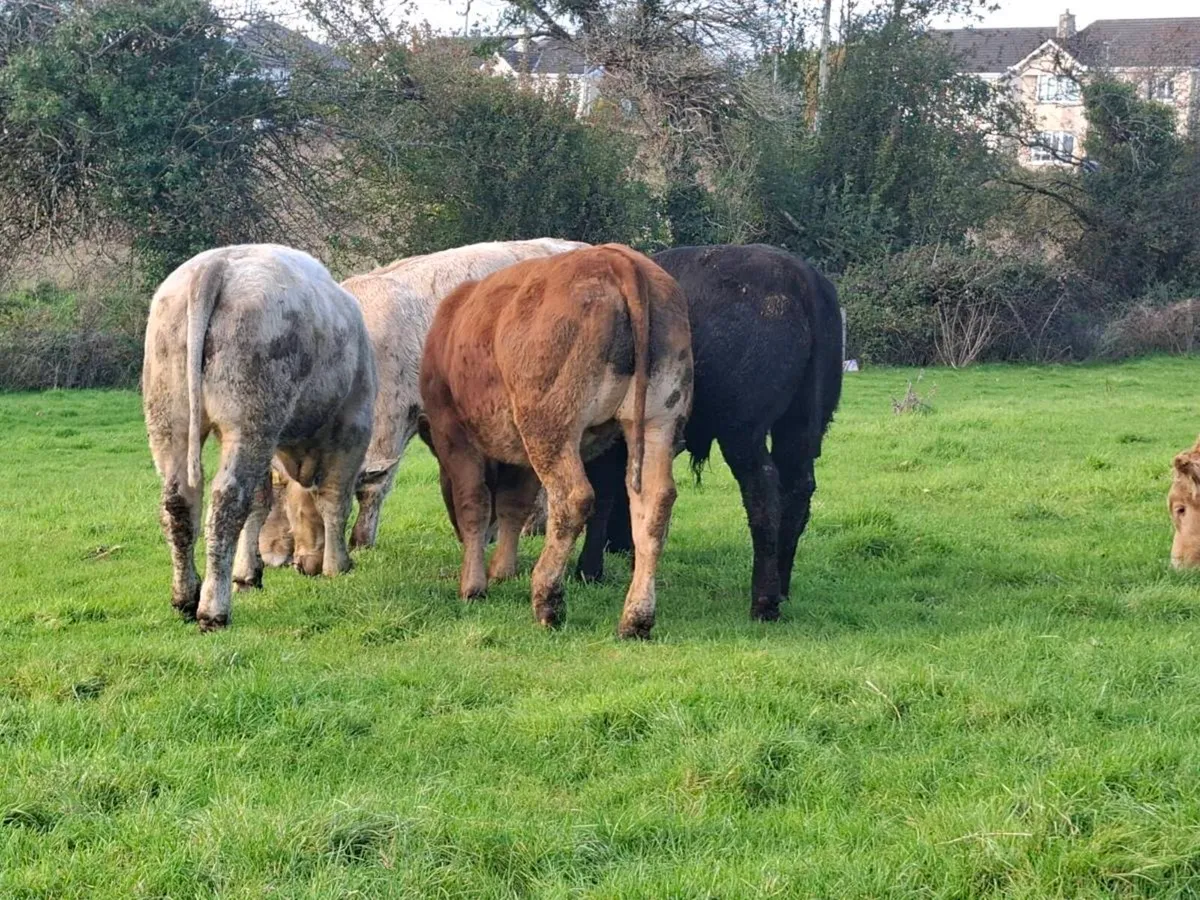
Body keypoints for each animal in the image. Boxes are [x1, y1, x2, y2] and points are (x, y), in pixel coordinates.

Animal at [142, 245, 376, 631]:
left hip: (170, 419)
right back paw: (214, 611)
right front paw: (337, 565)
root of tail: (216, 264)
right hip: (250, 421)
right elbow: (334, 500)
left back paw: (185, 598)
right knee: (227, 500)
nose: (305, 565)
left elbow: (261, 502)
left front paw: (247, 574)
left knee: (179, 502)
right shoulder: (352, 427)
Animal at [418, 244, 693, 638]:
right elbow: (514, 504)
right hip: (658, 420)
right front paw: (502, 570)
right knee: (655, 504)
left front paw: (473, 585)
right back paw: (636, 619)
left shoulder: (452, 432)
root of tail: (617, 259)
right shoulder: (519, 452)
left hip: (549, 425)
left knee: (572, 498)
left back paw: (548, 600)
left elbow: (475, 503)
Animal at [574, 244, 843, 623]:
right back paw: (781, 588)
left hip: (742, 430)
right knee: (798, 492)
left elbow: (604, 497)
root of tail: (799, 277)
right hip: (803, 424)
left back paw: (763, 603)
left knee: (764, 493)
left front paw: (588, 570)